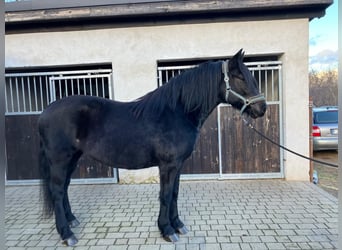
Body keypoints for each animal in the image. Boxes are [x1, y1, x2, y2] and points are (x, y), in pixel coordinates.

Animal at [38, 49, 268, 246]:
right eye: (240, 78)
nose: (262, 108)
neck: (177, 112)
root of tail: (45, 111)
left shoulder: (178, 165)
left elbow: (174, 193)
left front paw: (178, 225)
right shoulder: (167, 165)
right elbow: (165, 195)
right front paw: (167, 230)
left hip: (72, 158)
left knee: (64, 188)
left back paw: (72, 220)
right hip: (60, 160)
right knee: (57, 190)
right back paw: (67, 234)